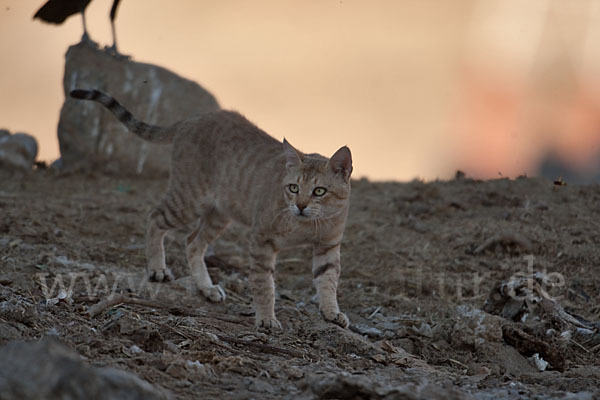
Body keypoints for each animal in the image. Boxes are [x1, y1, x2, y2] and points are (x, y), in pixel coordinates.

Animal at [69, 89, 352, 330]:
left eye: (319, 191)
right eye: (293, 188)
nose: (300, 206)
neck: (306, 226)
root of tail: (191, 120)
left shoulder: (328, 245)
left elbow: (328, 280)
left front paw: (331, 312)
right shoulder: (262, 239)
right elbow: (264, 284)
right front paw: (266, 318)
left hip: (219, 214)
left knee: (192, 241)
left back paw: (206, 287)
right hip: (187, 199)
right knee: (155, 218)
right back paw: (157, 269)